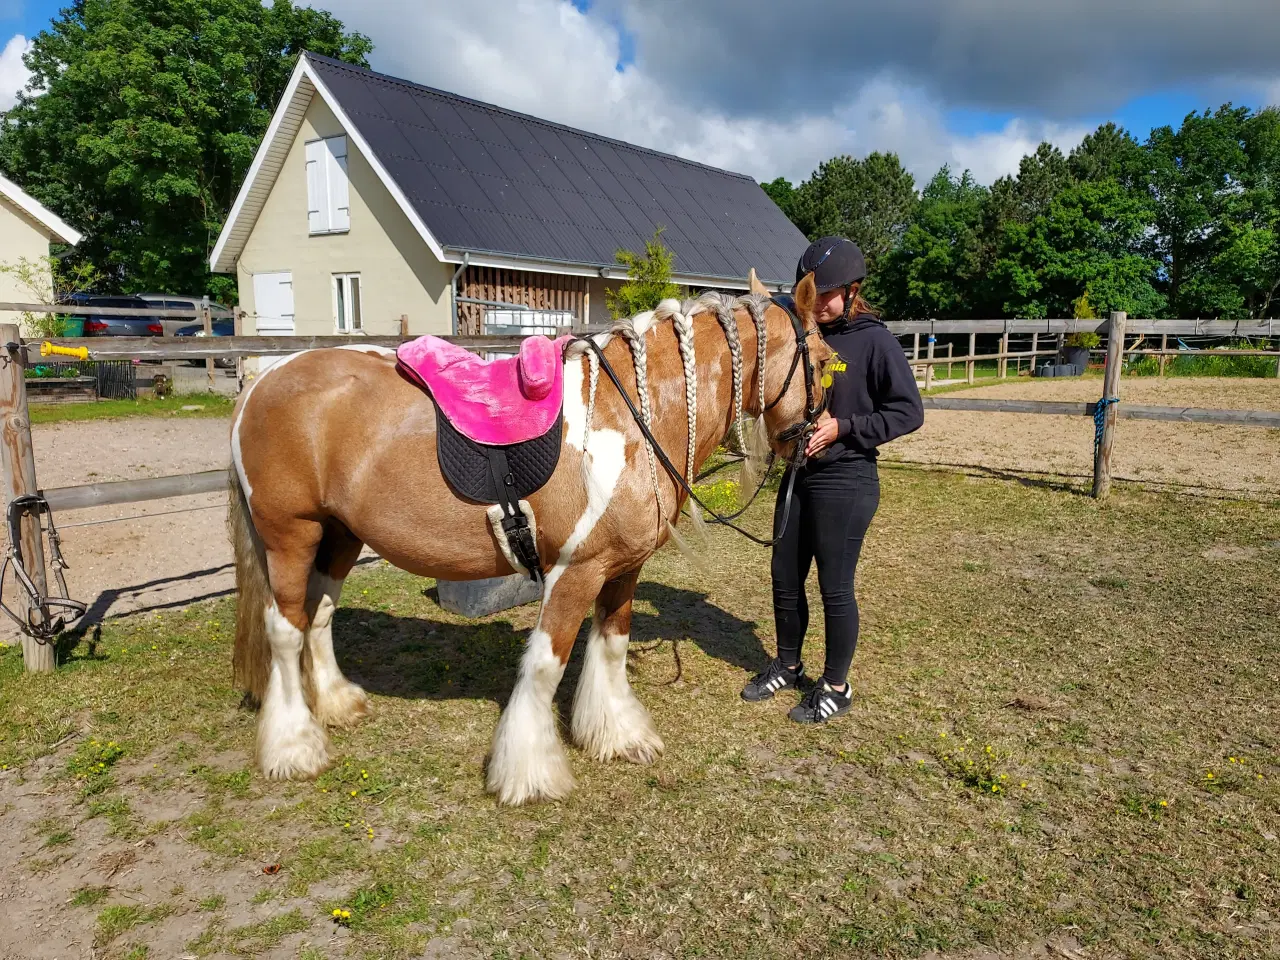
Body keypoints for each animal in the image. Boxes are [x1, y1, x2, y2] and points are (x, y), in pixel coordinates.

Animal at [227, 273, 829, 808]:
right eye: (825, 362)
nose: (814, 440)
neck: (628, 416)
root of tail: (259, 384)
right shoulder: (575, 571)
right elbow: (544, 665)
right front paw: (530, 775)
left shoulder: (622, 568)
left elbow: (611, 646)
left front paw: (618, 736)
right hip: (291, 536)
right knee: (285, 630)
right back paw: (294, 748)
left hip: (340, 536)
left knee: (320, 615)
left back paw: (335, 704)